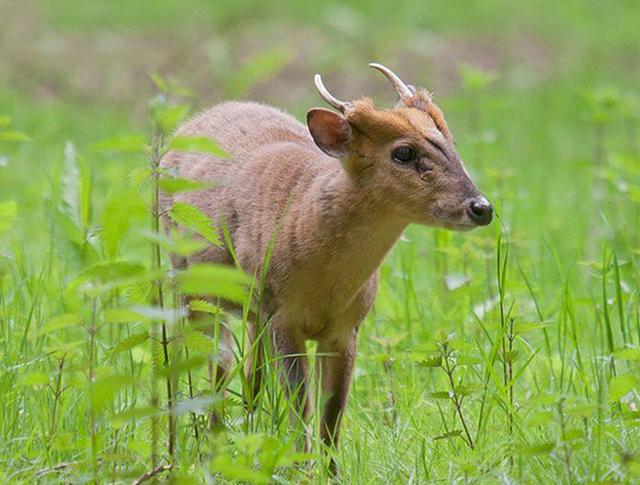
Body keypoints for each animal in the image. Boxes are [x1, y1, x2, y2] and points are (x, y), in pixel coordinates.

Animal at [159, 62, 490, 466]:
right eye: (404, 153)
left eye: (451, 143)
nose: (482, 208)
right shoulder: (283, 316)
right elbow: (301, 407)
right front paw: (300, 467)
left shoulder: (346, 327)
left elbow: (332, 416)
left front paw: (328, 471)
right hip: (188, 283)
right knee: (201, 367)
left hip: (251, 310)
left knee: (249, 378)